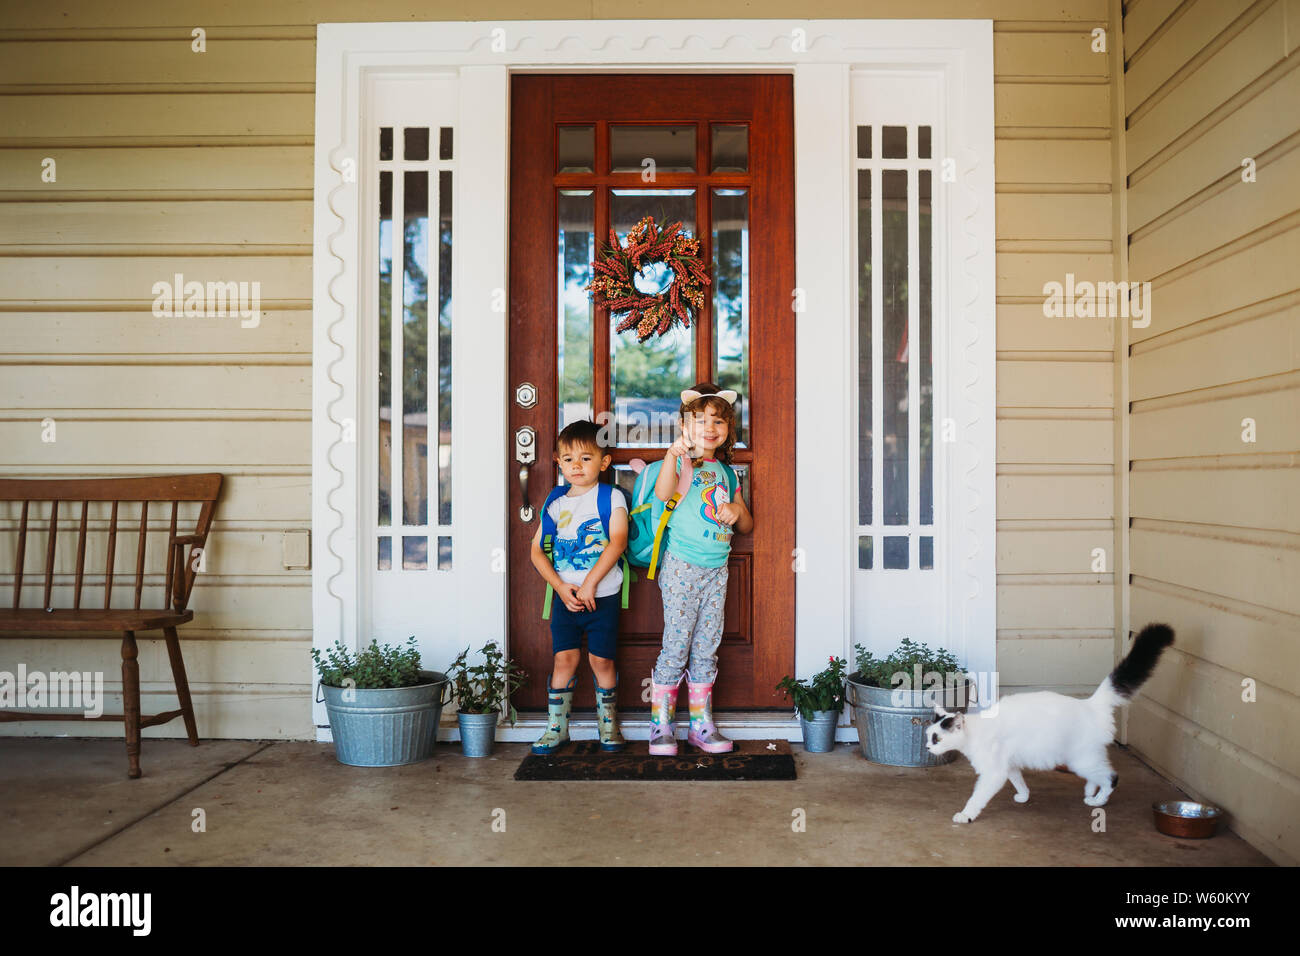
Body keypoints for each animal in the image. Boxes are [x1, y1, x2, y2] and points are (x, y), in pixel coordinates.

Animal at [930, 629, 1175, 822]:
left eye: (937, 739)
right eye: (928, 736)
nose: (927, 748)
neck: (975, 732)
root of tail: (1089, 704)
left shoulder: (993, 772)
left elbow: (976, 798)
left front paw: (965, 815)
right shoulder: (1008, 766)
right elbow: (1020, 782)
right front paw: (1023, 796)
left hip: (1081, 760)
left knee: (1111, 777)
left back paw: (1098, 801)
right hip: (1085, 759)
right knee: (1098, 775)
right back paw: (1089, 793)